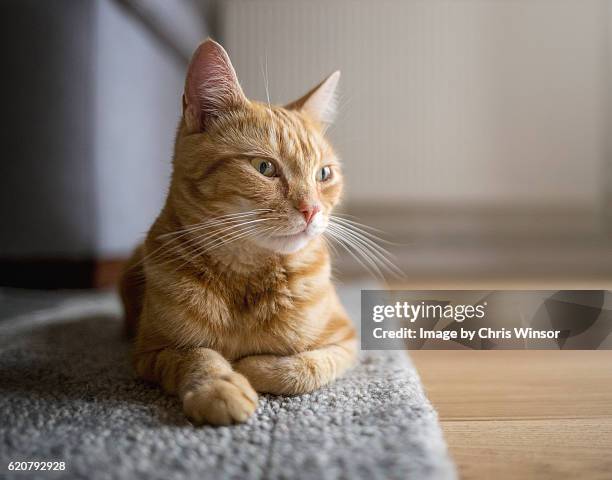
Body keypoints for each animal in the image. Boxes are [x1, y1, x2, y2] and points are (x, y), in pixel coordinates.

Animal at [118, 39, 358, 426]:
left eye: (323, 174)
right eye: (264, 167)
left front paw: (252, 367)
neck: (246, 279)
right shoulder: (151, 352)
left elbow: (305, 368)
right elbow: (197, 355)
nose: (312, 210)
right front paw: (220, 385)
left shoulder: (346, 341)